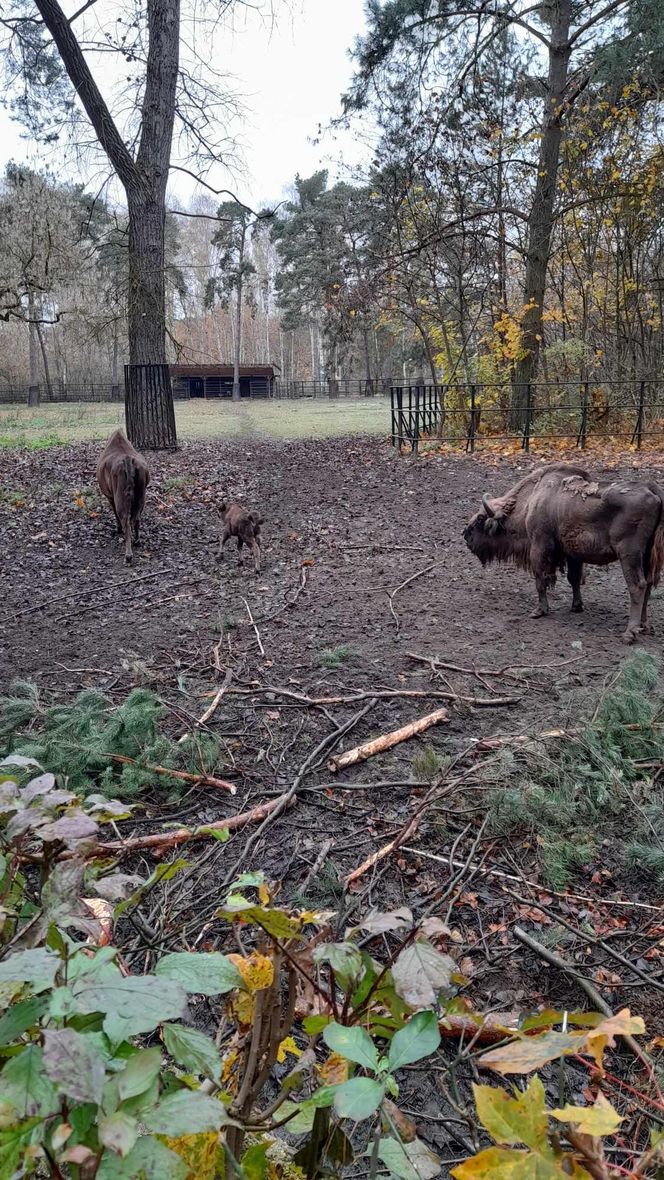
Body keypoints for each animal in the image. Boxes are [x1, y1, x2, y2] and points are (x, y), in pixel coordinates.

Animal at [95, 431, 149, 564]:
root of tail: (128, 460)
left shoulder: (110, 497)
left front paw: (117, 529)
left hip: (120, 498)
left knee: (126, 522)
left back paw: (128, 555)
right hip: (140, 496)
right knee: (136, 519)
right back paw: (137, 541)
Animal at [462, 462, 664, 646]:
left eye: (480, 519)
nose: (465, 535)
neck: (531, 501)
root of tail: (651, 488)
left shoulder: (539, 546)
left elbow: (540, 579)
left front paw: (539, 611)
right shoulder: (574, 555)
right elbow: (573, 579)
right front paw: (576, 607)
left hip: (629, 554)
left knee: (637, 585)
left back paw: (630, 633)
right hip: (646, 555)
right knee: (648, 584)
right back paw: (644, 626)